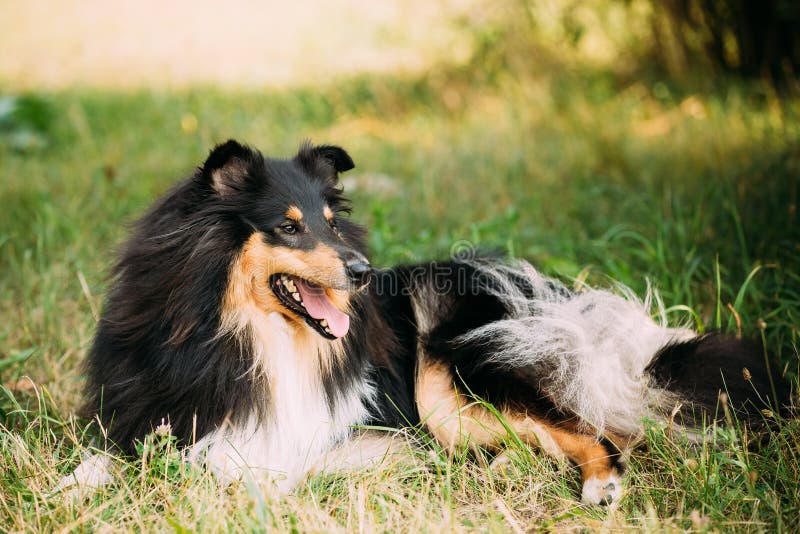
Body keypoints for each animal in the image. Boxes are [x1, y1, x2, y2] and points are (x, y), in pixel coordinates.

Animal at [59, 139, 792, 506]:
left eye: (331, 222)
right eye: (288, 227)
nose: (360, 271)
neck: (245, 336)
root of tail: (552, 299)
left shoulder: (327, 435)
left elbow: (254, 468)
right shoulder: (146, 412)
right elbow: (107, 456)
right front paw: (73, 488)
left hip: (452, 374)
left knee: (592, 430)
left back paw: (600, 486)